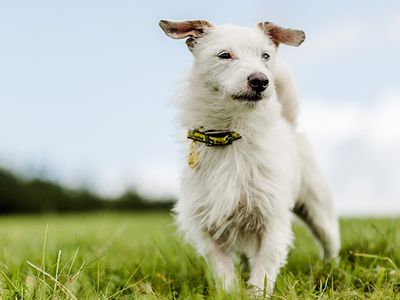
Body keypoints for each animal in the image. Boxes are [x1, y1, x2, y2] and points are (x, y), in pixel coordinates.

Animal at [159, 19, 340, 296]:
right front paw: (229, 293)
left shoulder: (272, 221)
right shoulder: (208, 228)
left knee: (330, 240)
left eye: (265, 56)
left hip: (318, 209)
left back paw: (332, 267)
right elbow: (223, 270)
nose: (261, 81)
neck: (229, 135)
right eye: (224, 55)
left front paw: (255, 293)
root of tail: (288, 123)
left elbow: (263, 272)